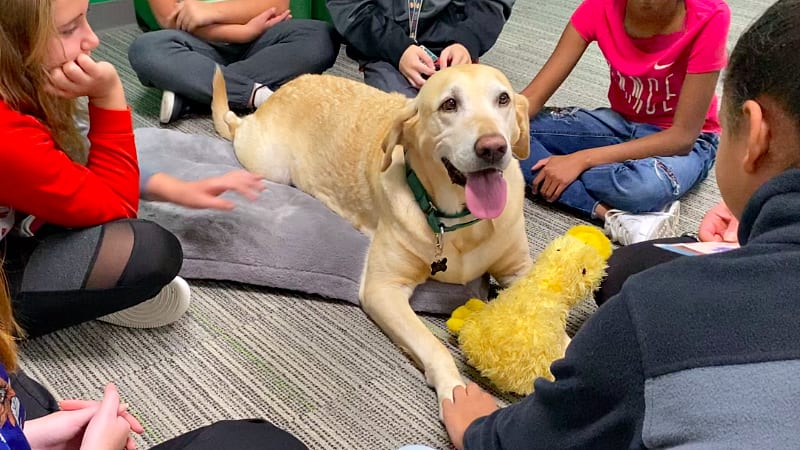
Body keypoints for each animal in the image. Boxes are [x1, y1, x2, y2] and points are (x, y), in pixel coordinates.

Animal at [212, 65, 536, 414]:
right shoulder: (383, 290)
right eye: (449, 104)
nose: (493, 147)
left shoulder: (518, 269)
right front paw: (454, 389)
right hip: (267, 162)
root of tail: (286, 88)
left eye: (503, 99)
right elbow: (433, 345)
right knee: (234, 124)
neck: (459, 222)